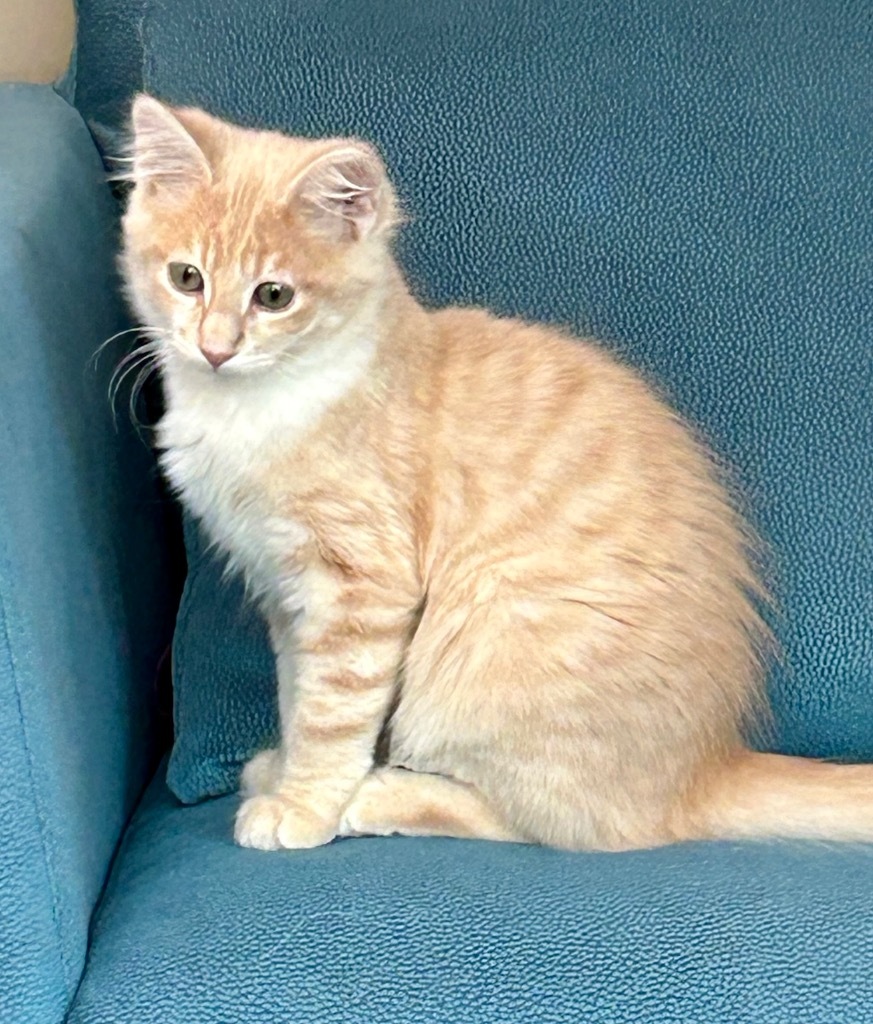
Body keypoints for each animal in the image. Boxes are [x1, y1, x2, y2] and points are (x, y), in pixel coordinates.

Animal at [119, 96, 867, 851]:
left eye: (273, 296)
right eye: (187, 278)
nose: (214, 348)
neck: (255, 411)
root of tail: (702, 768)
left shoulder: (362, 588)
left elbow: (331, 713)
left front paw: (306, 806)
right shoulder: (285, 591)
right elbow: (297, 691)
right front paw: (288, 772)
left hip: (486, 648)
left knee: (559, 824)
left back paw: (382, 794)